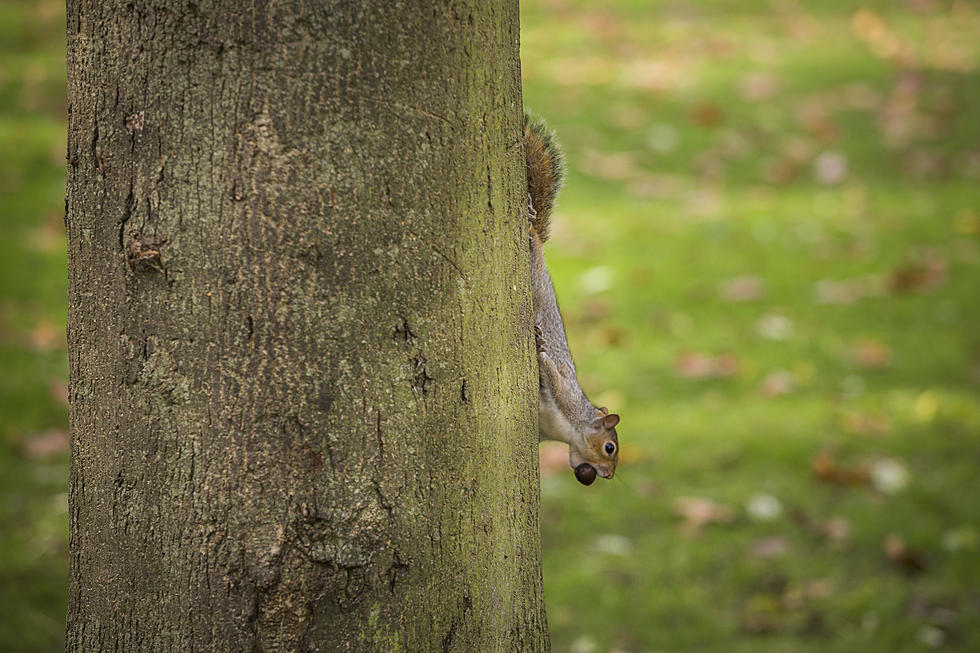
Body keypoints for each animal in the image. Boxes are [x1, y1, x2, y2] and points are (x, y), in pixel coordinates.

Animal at [520, 114, 620, 486]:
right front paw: (538, 347)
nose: (608, 475)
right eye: (609, 448)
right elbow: (547, 368)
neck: (565, 428)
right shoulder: (561, 390)